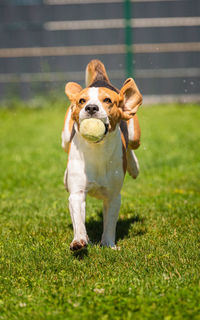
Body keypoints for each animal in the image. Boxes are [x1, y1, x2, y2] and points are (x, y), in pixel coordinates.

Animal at [61, 59, 141, 250]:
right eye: (82, 101)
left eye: (108, 100)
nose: (91, 107)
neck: (96, 150)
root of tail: (100, 79)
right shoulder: (77, 193)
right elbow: (78, 221)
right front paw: (79, 240)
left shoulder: (113, 197)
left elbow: (110, 224)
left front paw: (109, 245)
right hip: (65, 137)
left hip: (134, 134)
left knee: (131, 146)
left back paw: (134, 167)